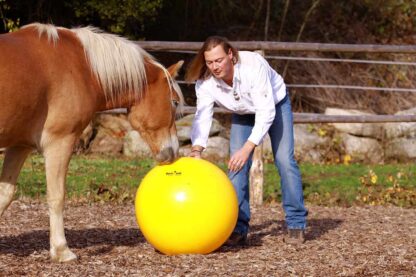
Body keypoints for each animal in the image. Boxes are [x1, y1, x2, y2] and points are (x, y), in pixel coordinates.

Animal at [0, 23, 184, 260]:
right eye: (174, 101)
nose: (173, 152)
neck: (82, 67)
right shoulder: (60, 143)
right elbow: (56, 196)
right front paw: (62, 250)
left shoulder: (19, 145)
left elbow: (5, 194)